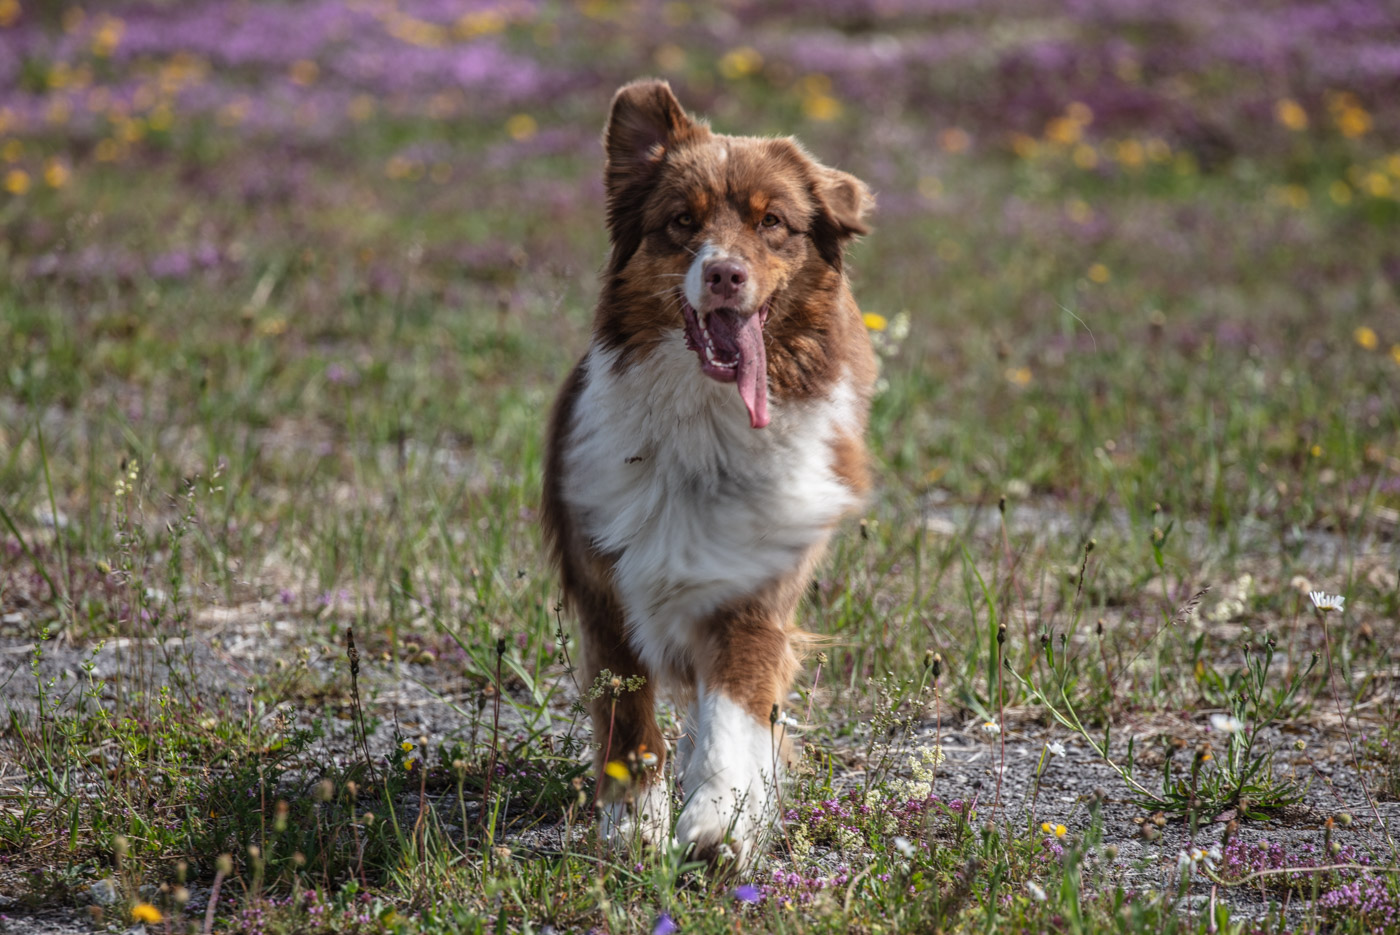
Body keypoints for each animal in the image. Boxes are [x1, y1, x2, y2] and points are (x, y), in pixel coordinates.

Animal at [537, 80, 873, 867]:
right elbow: (628, 717)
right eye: (681, 221)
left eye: (773, 222)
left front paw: (719, 821)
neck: (707, 430)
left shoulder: (753, 589)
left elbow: (733, 714)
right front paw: (634, 822)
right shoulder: (606, 584)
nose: (724, 272)